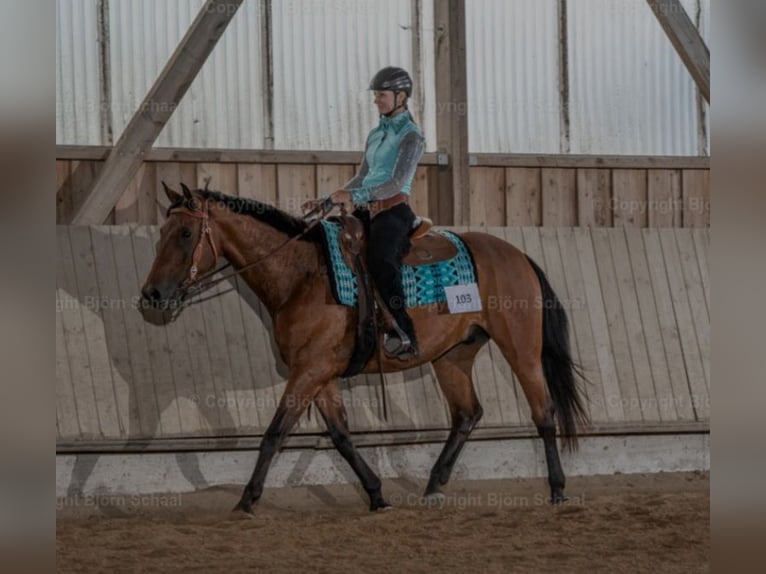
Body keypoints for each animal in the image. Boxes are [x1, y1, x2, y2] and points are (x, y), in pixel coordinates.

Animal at [142, 182, 588, 516]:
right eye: (162, 233)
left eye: (185, 234)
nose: (151, 295)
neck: (302, 274)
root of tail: (517, 254)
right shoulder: (318, 373)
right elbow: (340, 435)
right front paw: (376, 494)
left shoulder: (309, 371)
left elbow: (274, 433)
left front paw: (247, 501)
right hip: (452, 356)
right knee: (467, 414)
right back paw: (433, 486)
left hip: (521, 349)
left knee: (543, 412)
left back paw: (558, 490)